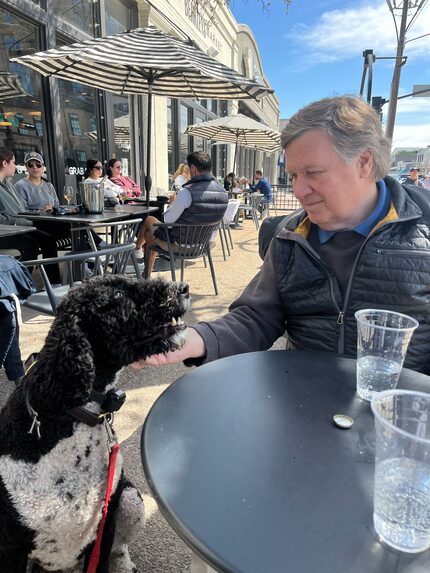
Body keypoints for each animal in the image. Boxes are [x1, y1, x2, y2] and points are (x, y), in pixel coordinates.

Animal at [0, 274, 190, 568]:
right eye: (117, 296)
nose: (182, 287)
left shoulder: (106, 522)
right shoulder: (11, 545)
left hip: (130, 499)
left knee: (120, 548)